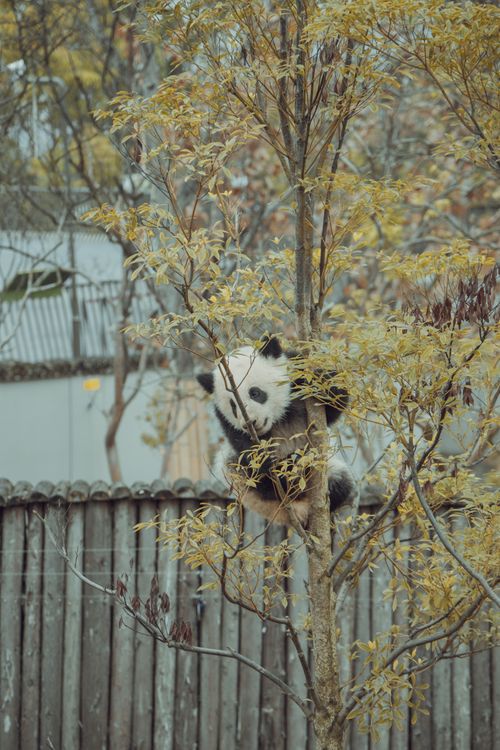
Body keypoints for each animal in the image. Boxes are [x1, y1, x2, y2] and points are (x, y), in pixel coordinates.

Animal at [196, 336, 355, 527]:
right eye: (233, 406)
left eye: (255, 393)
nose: (251, 423)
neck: (278, 419)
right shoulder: (226, 421)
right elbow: (246, 448)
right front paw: (268, 459)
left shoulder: (296, 375)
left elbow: (332, 406)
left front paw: (322, 383)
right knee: (247, 473)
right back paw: (290, 470)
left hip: (331, 469)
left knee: (341, 483)